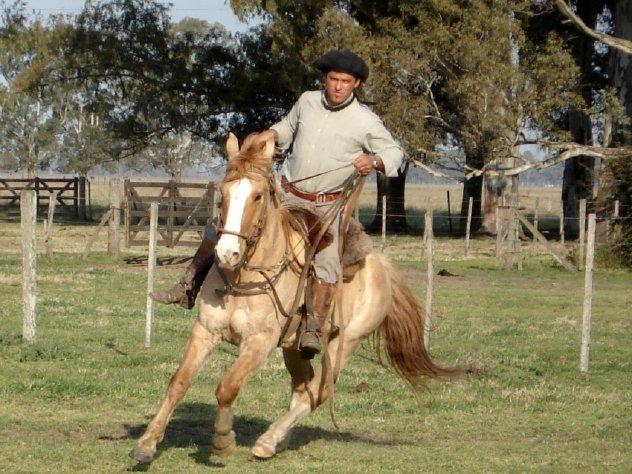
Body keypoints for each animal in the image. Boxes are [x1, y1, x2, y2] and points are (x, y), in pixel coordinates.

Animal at [130, 132, 459, 464]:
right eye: (223, 193)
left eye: (257, 196)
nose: (227, 253)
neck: (244, 276)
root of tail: (381, 265)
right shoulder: (206, 331)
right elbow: (178, 383)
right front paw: (147, 443)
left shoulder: (259, 343)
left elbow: (227, 387)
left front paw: (223, 441)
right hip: (293, 347)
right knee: (303, 388)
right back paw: (278, 440)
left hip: (345, 342)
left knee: (318, 391)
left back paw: (267, 441)